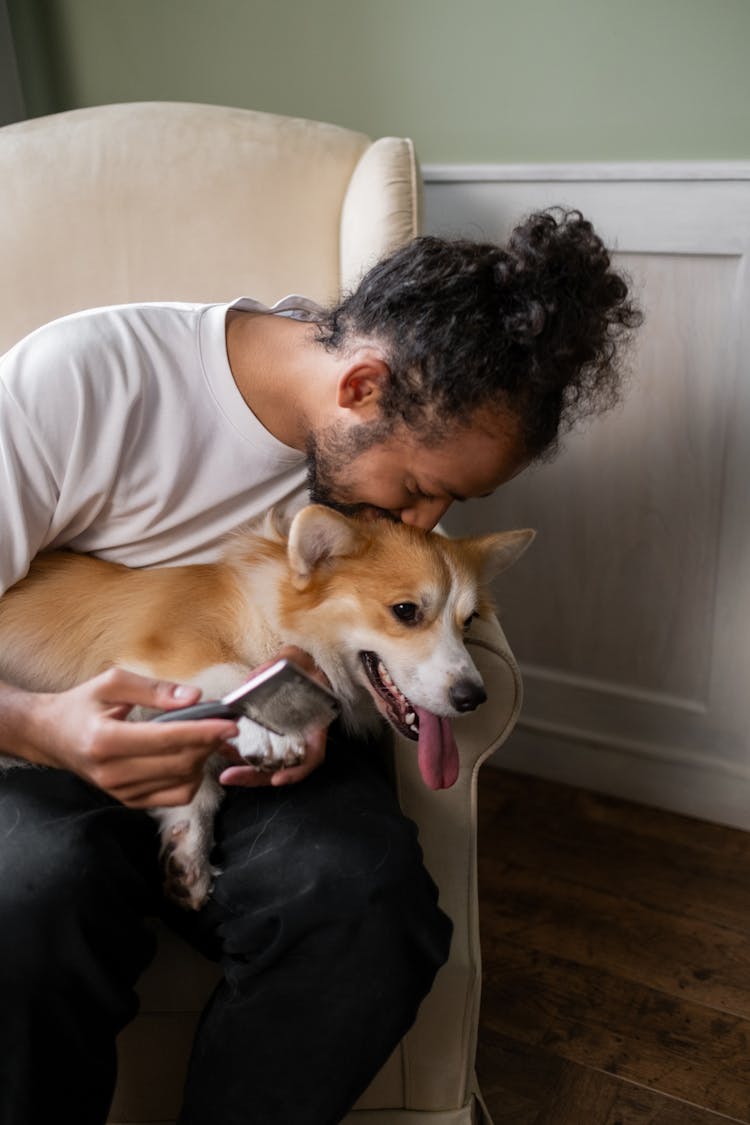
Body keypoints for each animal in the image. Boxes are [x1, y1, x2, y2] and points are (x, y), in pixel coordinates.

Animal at [0, 506, 532, 909]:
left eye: (470, 622)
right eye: (405, 611)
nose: (474, 698)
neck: (271, 619)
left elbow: (196, 795)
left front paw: (187, 860)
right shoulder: (162, 654)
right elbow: (235, 674)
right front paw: (273, 730)